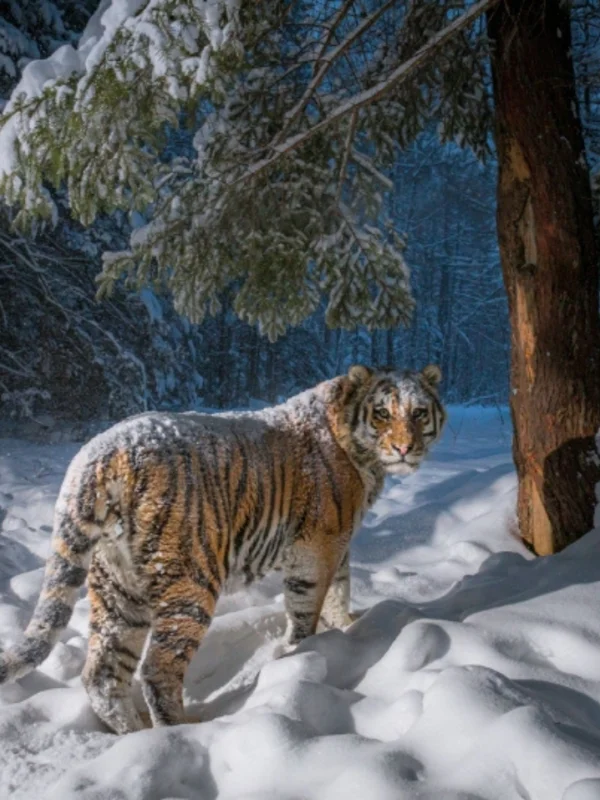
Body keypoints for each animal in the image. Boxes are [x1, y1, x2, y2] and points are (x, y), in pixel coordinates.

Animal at [0, 363, 446, 734]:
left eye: (419, 413)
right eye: (382, 413)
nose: (405, 448)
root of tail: (97, 454)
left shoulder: (338, 545)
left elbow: (340, 591)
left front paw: (347, 628)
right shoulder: (317, 547)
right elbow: (308, 607)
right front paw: (304, 652)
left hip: (118, 587)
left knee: (103, 674)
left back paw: (134, 734)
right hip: (191, 580)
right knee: (157, 670)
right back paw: (181, 733)